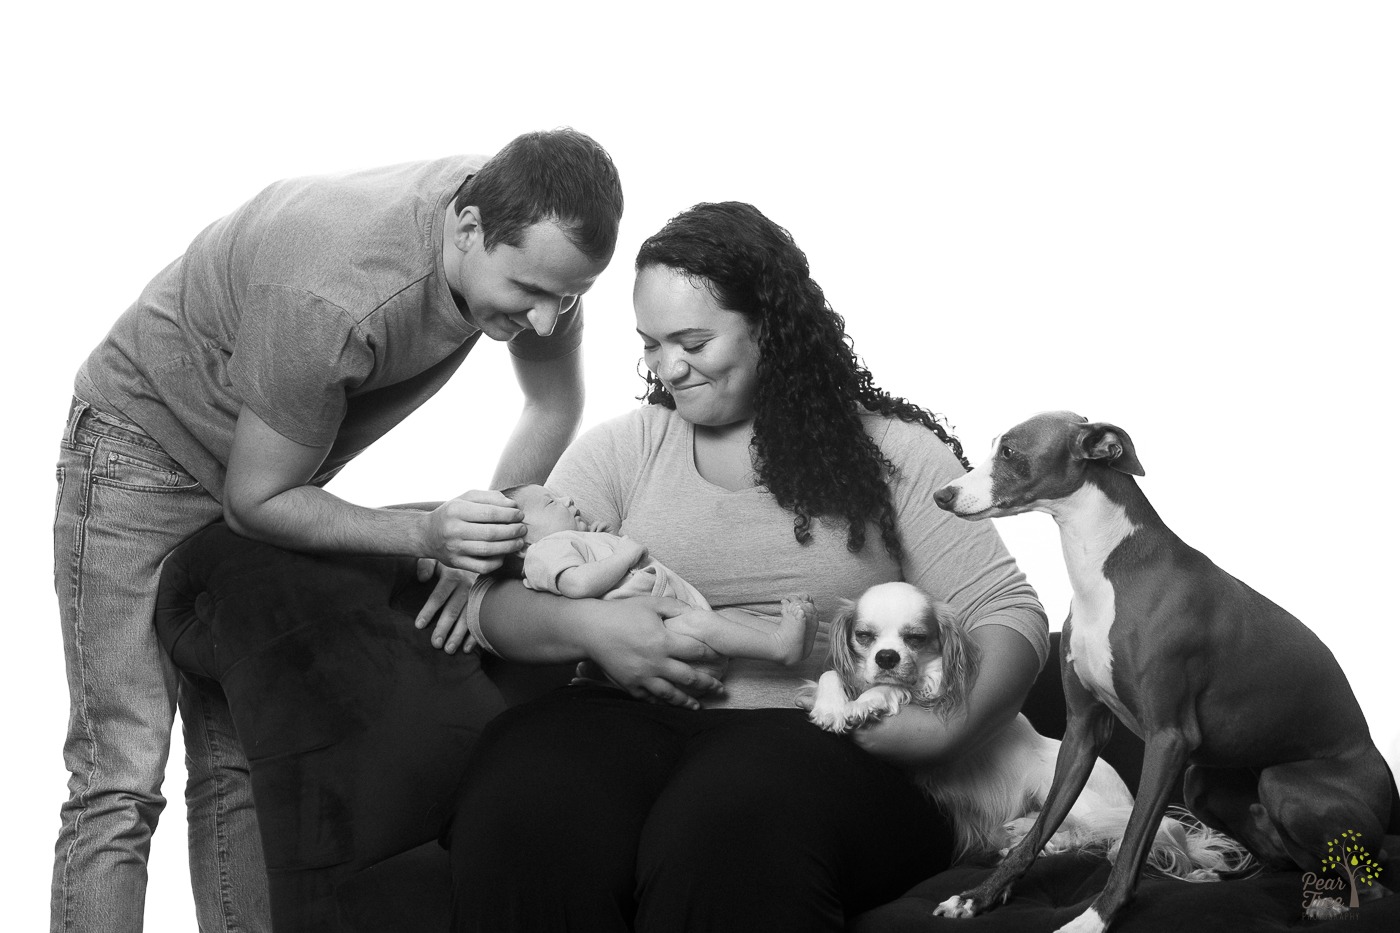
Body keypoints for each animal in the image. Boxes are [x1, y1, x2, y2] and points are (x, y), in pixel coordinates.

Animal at [929, 411, 1388, 930]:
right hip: (1201, 782)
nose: (942, 495)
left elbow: (1132, 841)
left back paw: (1331, 901)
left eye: (1009, 452)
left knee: (1369, 881)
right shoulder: (1083, 731)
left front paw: (1095, 917)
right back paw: (1214, 874)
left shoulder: (1169, 740)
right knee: (1285, 859)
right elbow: (1040, 827)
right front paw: (978, 897)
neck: (1106, 573)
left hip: (1282, 784)